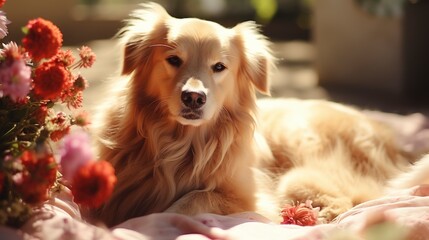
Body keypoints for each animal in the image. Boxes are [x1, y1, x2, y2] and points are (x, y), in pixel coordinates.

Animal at [93, 2, 408, 226]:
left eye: (219, 67)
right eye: (173, 59)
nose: (194, 97)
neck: (180, 143)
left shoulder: (249, 198)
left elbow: (192, 199)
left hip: (300, 171)